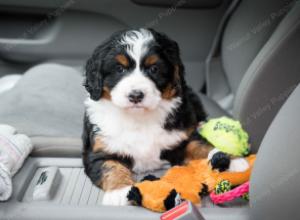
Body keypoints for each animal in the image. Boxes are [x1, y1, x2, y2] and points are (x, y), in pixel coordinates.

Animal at [81, 28, 226, 205]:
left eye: (154, 69)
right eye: (120, 69)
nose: (136, 95)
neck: (138, 117)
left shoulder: (181, 136)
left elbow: (198, 146)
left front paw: (229, 160)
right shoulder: (98, 150)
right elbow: (111, 167)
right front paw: (120, 192)